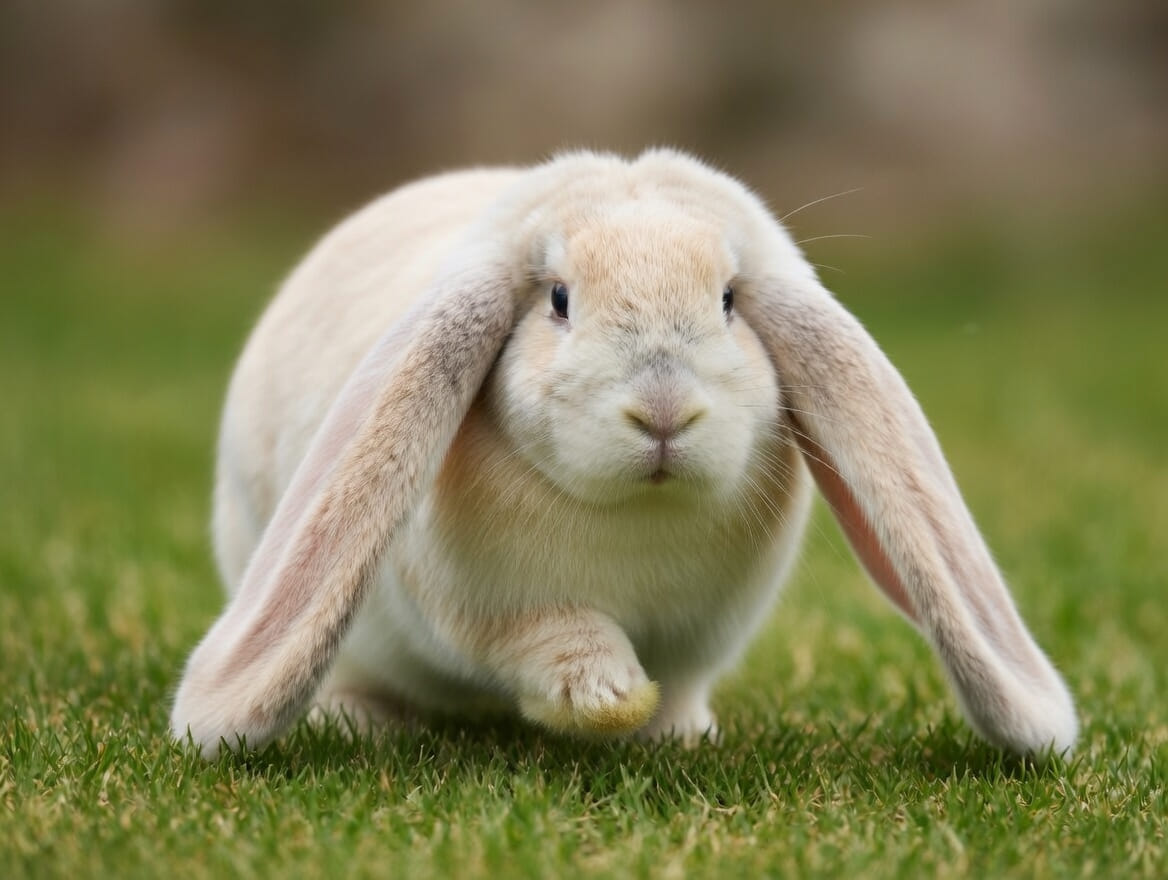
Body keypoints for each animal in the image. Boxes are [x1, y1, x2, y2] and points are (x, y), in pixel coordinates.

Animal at [170, 148, 1078, 759]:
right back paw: (359, 720)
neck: (634, 519)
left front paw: (669, 732)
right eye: (559, 300)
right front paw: (606, 694)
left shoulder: (698, 637)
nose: (664, 411)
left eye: (729, 300)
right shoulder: (482, 611)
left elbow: (674, 683)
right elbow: (556, 638)